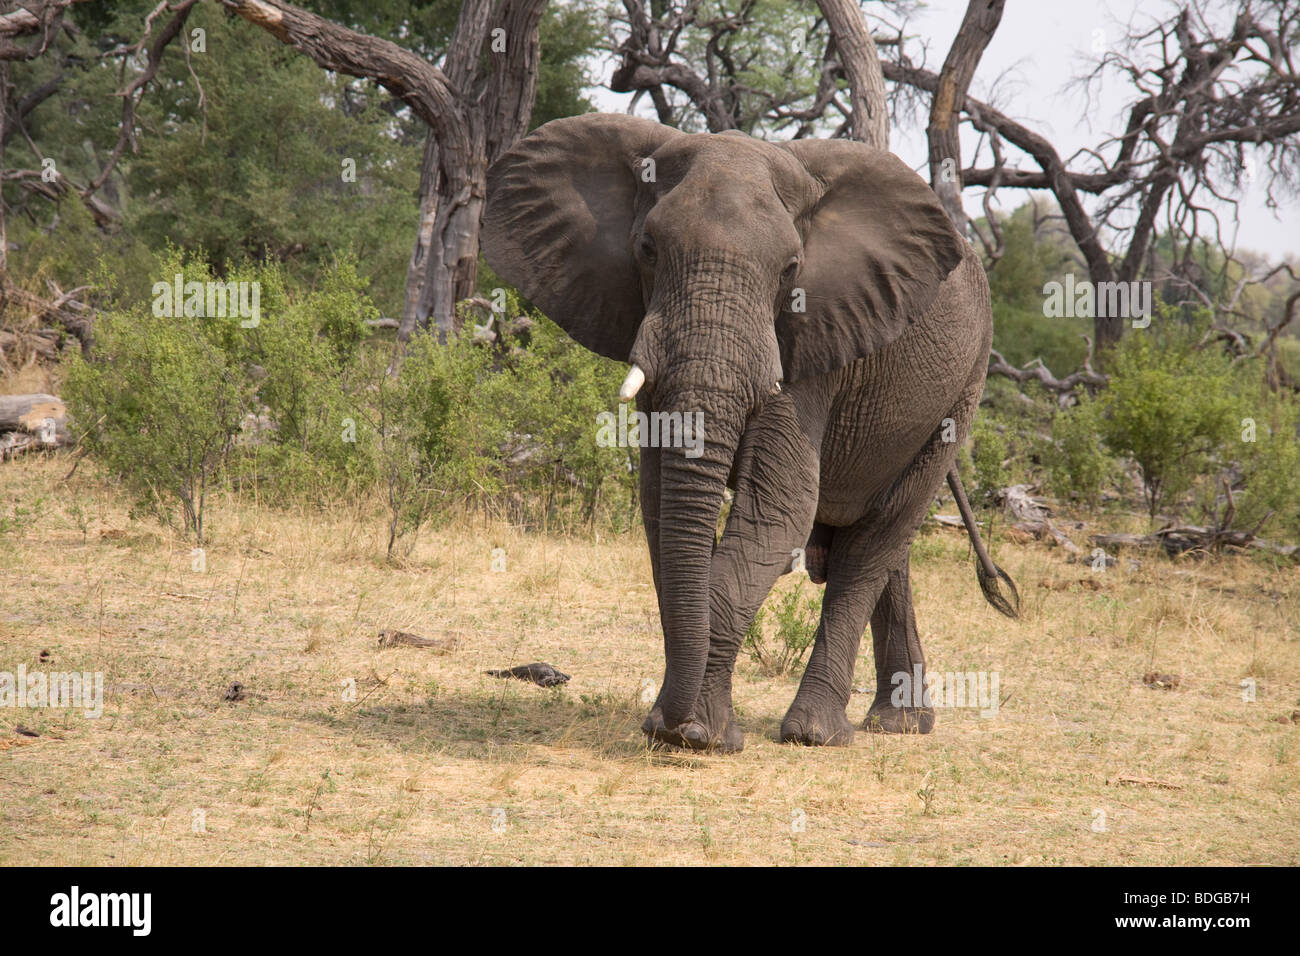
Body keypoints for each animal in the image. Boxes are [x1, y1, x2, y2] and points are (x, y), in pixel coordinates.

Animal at [480, 113, 1013, 754]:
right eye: (647, 250)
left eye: (790, 271)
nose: (671, 725)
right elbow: (660, 502)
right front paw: (679, 730)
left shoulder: (814, 339)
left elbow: (778, 508)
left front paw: (698, 737)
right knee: (887, 548)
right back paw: (899, 724)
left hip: (962, 388)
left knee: (879, 538)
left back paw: (819, 734)